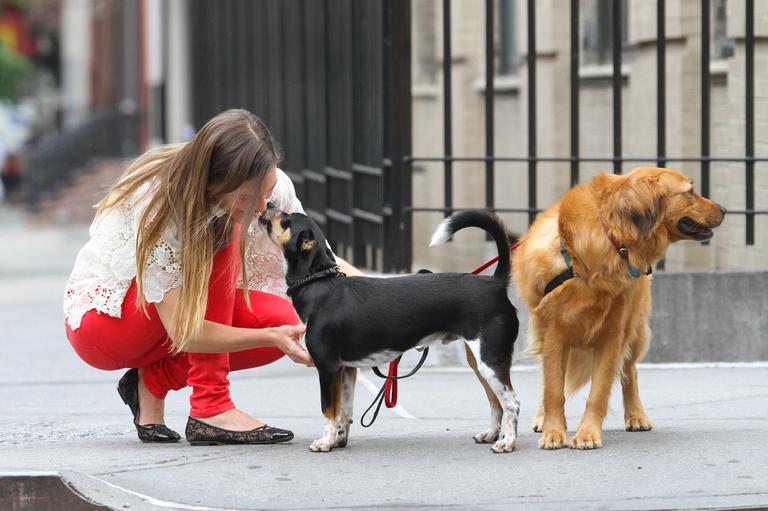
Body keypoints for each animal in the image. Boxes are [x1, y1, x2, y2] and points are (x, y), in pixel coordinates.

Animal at [260, 210, 520, 454]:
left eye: (286, 219)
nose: (268, 205)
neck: (318, 285)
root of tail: (495, 282)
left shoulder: (328, 368)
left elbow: (329, 410)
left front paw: (325, 443)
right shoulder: (346, 370)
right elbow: (344, 410)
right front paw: (338, 440)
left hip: (489, 362)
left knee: (511, 403)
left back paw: (507, 443)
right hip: (480, 363)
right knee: (496, 402)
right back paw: (491, 435)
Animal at [512, 166, 724, 450]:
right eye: (690, 191)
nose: (724, 210)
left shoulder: (612, 335)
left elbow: (599, 392)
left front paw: (587, 433)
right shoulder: (553, 334)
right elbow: (554, 389)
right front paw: (554, 432)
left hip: (635, 330)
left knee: (629, 372)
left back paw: (636, 415)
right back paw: (542, 418)